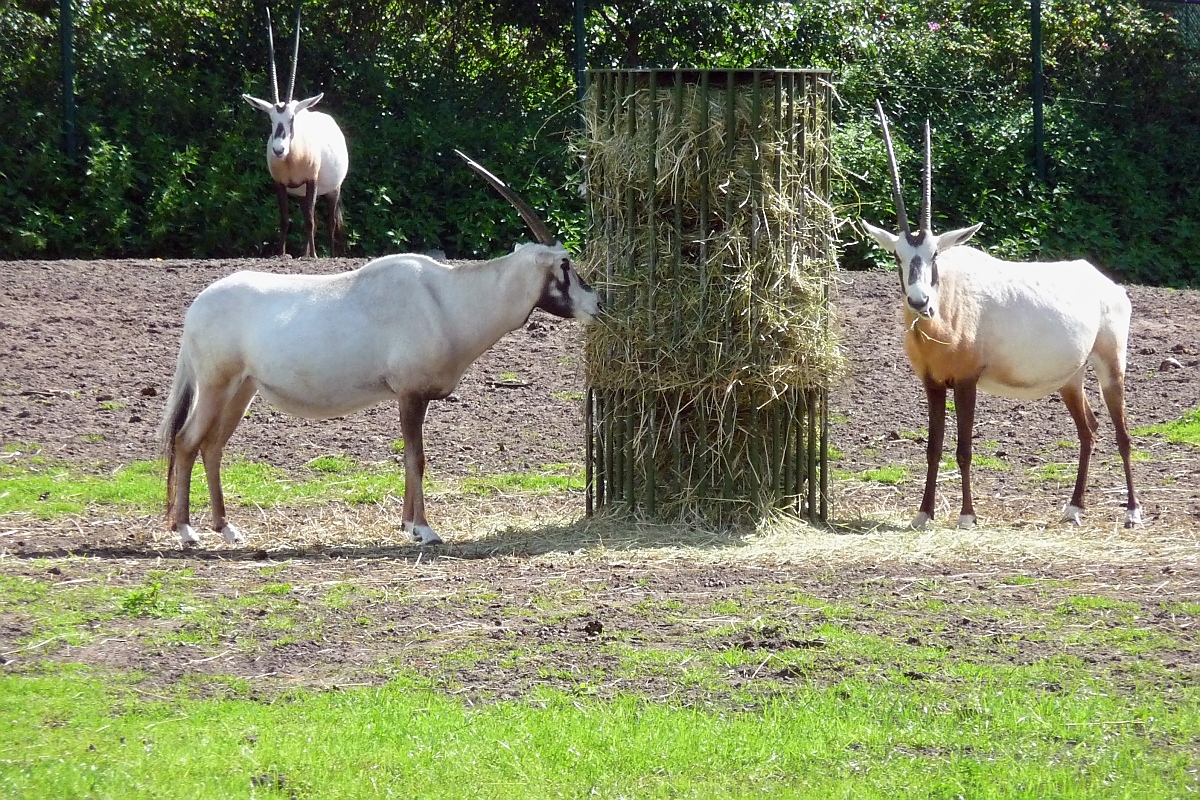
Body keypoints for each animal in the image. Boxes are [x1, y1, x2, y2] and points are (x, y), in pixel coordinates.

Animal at [162, 153, 600, 546]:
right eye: (565, 264)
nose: (598, 303)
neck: (448, 297)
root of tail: (198, 305)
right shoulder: (411, 393)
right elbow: (416, 458)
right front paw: (424, 530)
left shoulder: (410, 396)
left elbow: (410, 457)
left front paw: (408, 525)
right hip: (216, 385)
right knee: (186, 441)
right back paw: (186, 532)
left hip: (242, 389)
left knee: (212, 446)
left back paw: (227, 529)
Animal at [241, 3, 350, 260]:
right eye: (270, 119)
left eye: (292, 119)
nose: (279, 149)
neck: (291, 159)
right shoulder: (280, 184)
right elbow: (285, 220)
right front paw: (281, 253)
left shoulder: (311, 181)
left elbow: (311, 222)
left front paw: (314, 256)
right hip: (301, 194)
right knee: (312, 218)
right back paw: (305, 252)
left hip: (332, 189)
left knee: (329, 222)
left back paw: (327, 254)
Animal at [864, 103, 1142, 534]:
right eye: (898, 255)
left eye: (935, 255)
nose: (920, 301)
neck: (948, 306)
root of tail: (1104, 282)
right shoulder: (932, 383)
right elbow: (933, 447)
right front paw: (923, 514)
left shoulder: (965, 381)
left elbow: (963, 449)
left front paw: (967, 516)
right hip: (1071, 378)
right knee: (1089, 430)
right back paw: (1074, 509)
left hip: (1110, 365)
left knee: (1122, 432)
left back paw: (1132, 512)